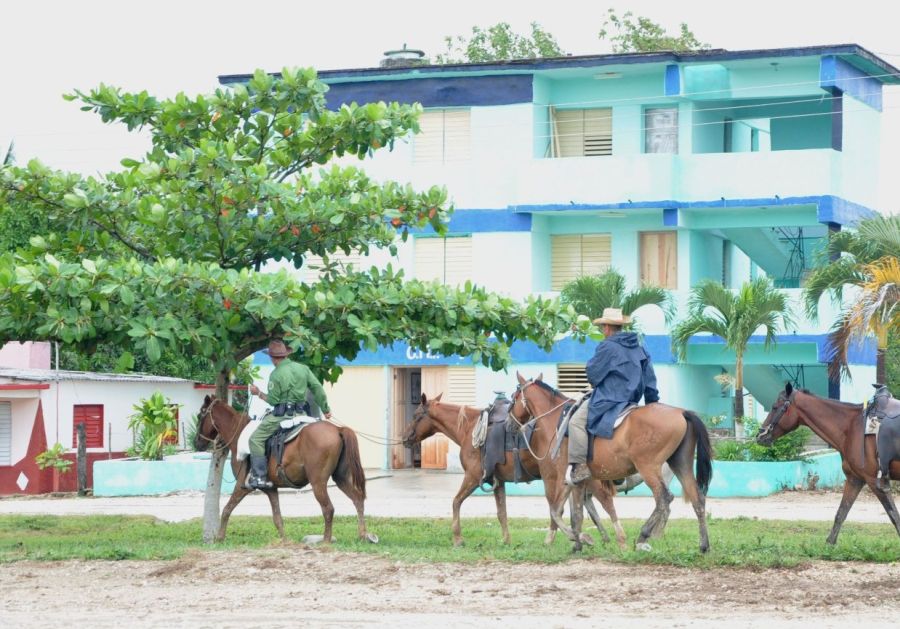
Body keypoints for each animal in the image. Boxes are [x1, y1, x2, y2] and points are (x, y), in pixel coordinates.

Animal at [192, 394, 374, 544]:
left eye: (201, 415)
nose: (197, 443)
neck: (239, 435)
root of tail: (338, 429)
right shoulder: (271, 489)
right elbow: (277, 518)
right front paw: (285, 541)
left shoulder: (242, 486)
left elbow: (226, 509)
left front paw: (219, 537)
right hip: (341, 478)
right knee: (357, 499)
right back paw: (363, 535)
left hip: (318, 483)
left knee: (328, 508)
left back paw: (326, 541)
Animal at [400, 390, 624, 548]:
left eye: (417, 415)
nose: (404, 437)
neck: (469, 429)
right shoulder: (497, 480)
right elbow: (502, 512)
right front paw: (506, 540)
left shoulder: (472, 477)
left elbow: (456, 503)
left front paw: (457, 538)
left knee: (600, 502)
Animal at [760, 380, 900, 544]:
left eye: (775, 407)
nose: (760, 434)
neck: (852, 426)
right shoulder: (855, 479)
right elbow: (841, 513)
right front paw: (829, 543)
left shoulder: (875, 481)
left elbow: (894, 517)